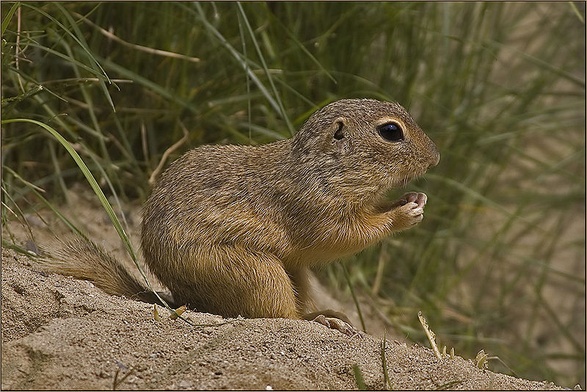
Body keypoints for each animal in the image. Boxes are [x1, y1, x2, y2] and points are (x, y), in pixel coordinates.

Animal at [42, 98, 436, 334]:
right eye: (390, 131)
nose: (436, 157)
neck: (323, 167)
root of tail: (179, 299)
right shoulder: (318, 211)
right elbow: (345, 236)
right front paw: (404, 214)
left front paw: (414, 199)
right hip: (259, 273)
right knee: (280, 316)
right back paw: (323, 320)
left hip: (293, 273)